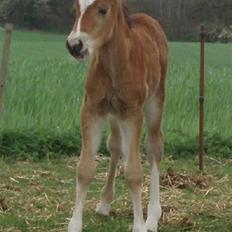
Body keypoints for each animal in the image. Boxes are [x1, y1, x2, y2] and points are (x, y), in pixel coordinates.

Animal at [66, 0, 168, 232]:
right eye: (75, 10)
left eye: (102, 10)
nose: (75, 45)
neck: (115, 63)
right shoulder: (92, 109)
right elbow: (85, 168)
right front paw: (75, 224)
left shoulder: (132, 112)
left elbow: (134, 172)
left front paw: (139, 225)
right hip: (114, 114)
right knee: (116, 145)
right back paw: (105, 203)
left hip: (155, 100)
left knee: (154, 147)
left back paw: (153, 216)